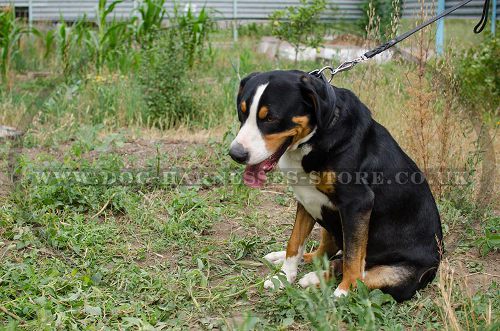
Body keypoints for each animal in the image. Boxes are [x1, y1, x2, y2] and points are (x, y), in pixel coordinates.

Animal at [229, 70, 444, 304]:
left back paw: (323, 279)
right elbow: (294, 242)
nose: (236, 154)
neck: (318, 136)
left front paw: (344, 290)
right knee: (324, 253)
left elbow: (353, 256)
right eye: (242, 113)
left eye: (270, 118)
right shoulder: (305, 199)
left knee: (364, 274)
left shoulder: (357, 203)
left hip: (398, 275)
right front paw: (284, 276)